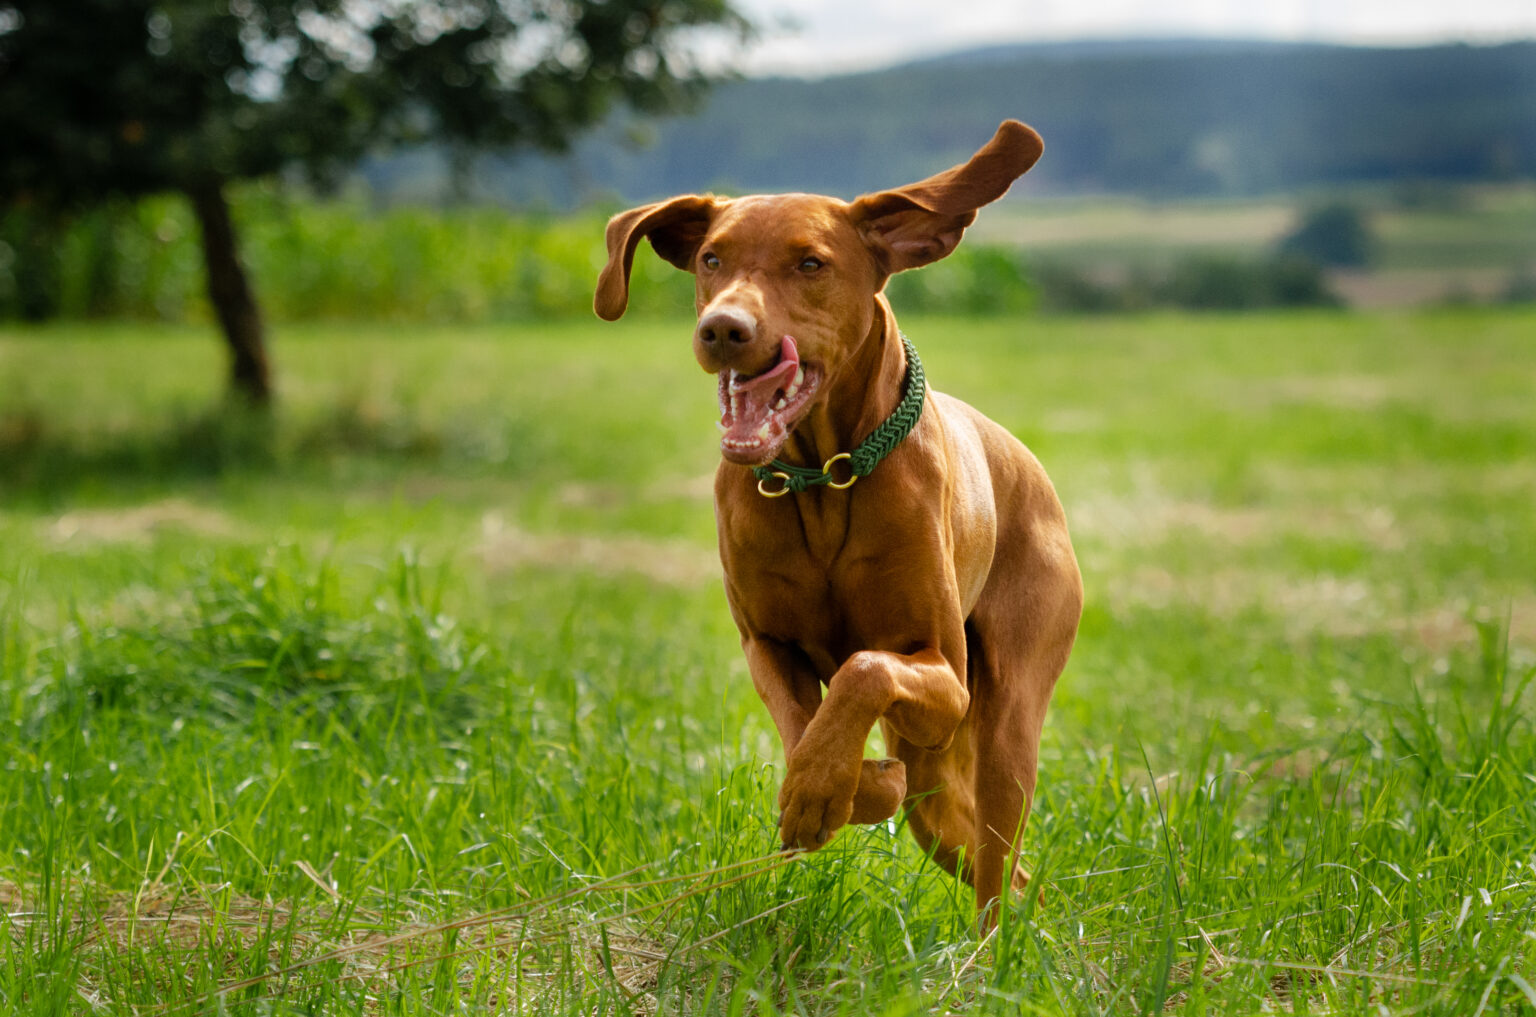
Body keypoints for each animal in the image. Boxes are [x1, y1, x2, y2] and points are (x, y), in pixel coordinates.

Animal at [592, 119, 1087, 915]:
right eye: (711, 258)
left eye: (811, 263)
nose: (722, 328)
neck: (823, 477)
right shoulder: (766, 645)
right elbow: (804, 730)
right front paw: (829, 791)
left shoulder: (945, 681)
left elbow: (863, 666)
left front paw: (831, 787)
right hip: (938, 798)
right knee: (1000, 867)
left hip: (1008, 719)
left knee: (997, 866)